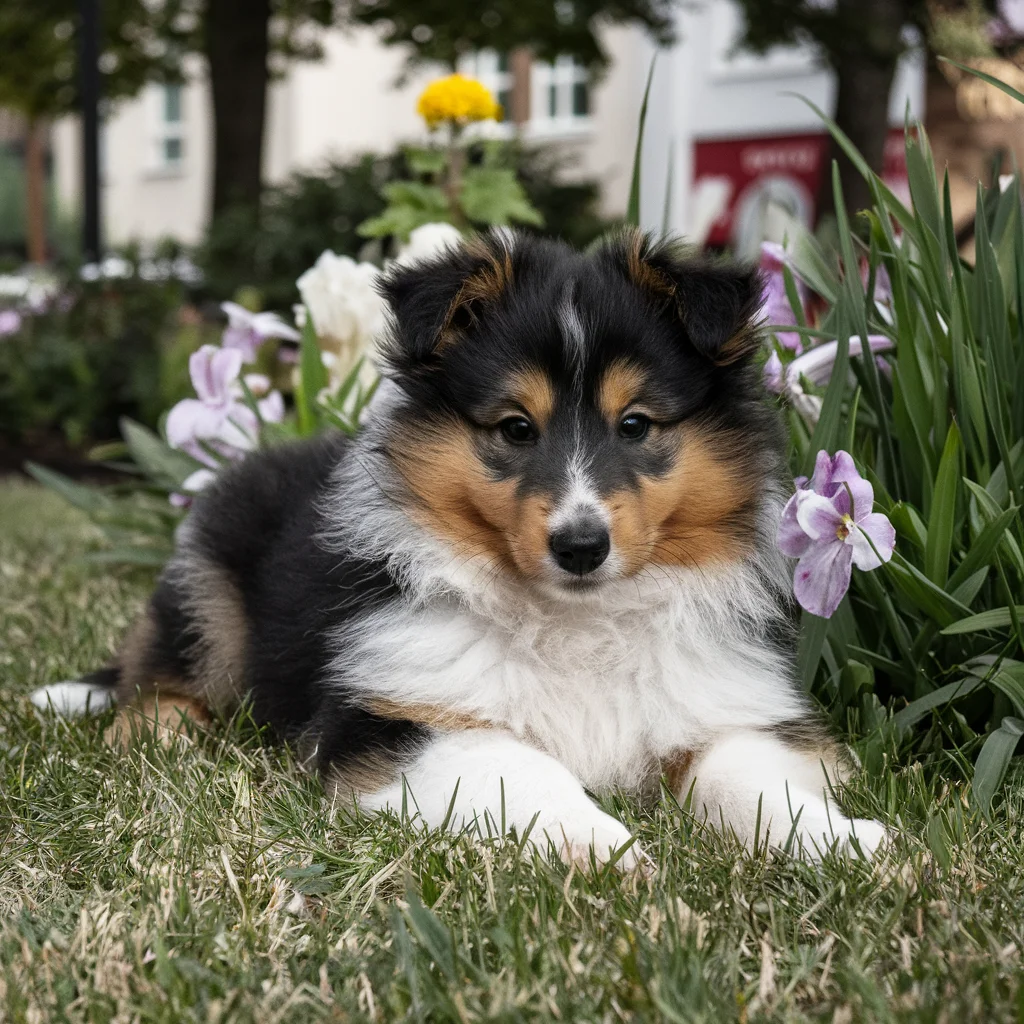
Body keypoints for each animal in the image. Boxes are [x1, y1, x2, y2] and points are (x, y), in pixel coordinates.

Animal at [34, 230, 888, 864]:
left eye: (636, 424)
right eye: (515, 427)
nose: (581, 546)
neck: (578, 621)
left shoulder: (723, 708)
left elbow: (745, 774)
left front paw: (843, 843)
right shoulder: (396, 721)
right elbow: (522, 765)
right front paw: (606, 846)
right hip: (209, 585)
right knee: (159, 675)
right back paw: (159, 736)